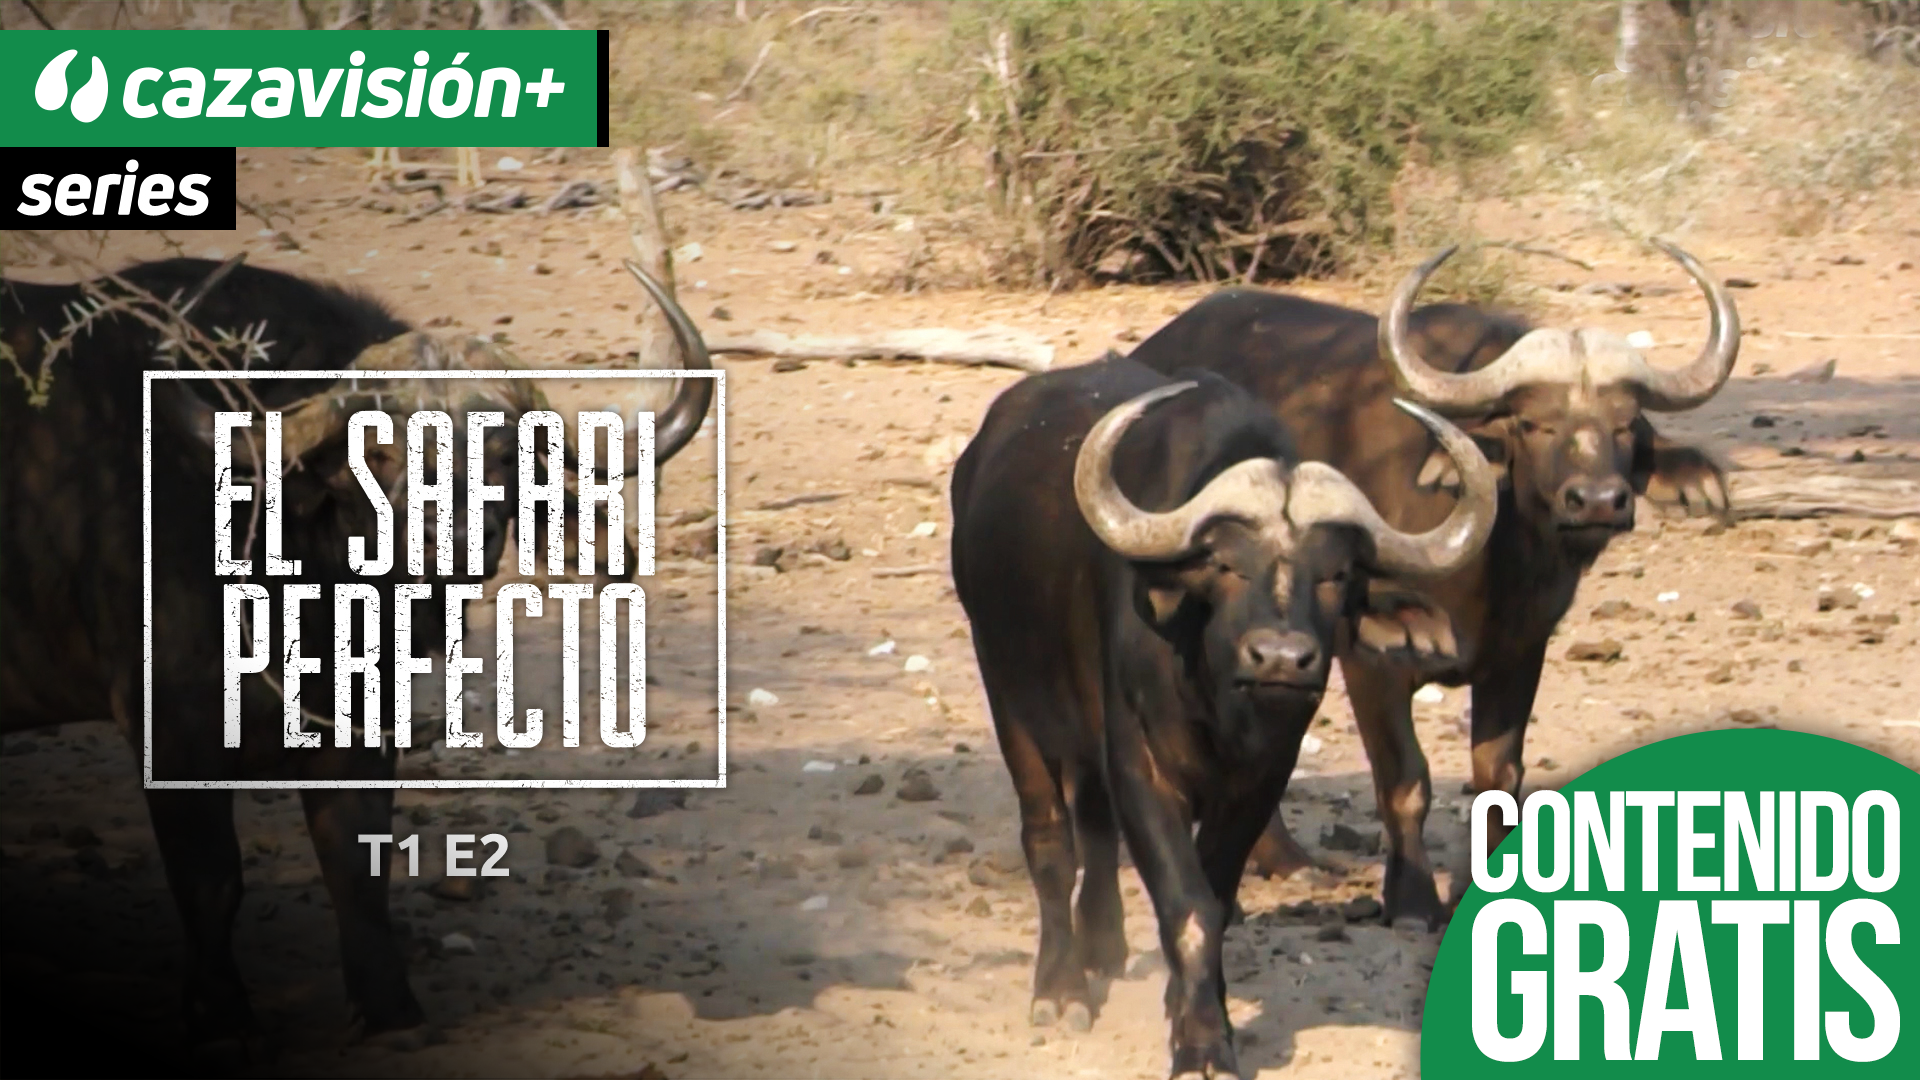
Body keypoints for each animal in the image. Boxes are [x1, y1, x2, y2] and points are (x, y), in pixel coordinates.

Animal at [0, 254, 712, 1049]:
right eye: (378, 450)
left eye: (502, 452)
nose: (449, 541)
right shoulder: (171, 726)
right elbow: (212, 879)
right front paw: (222, 1018)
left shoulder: (364, 723)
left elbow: (356, 860)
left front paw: (390, 1011)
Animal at [950, 353, 1497, 1079]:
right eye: (1224, 564)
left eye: (1338, 574)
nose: (1281, 658)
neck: (1216, 696)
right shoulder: (1143, 768)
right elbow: (1187, 905)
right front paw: (1201, 1044)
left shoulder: (1261, 776)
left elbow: (1214, 894)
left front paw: (1199, 1014)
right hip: (1009, 694)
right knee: (1050, 842)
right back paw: (1062, 988)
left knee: (1094, 827)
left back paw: (1103, 949)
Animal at [1127, 241, 1739, 926]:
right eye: (1533, 423)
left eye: (1627, 424)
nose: (1599, 501)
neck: (1494, 563)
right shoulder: (1371, 661)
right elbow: (1405, 780)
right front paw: (1414, 899)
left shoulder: (1519, 654)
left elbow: (1499, 777)